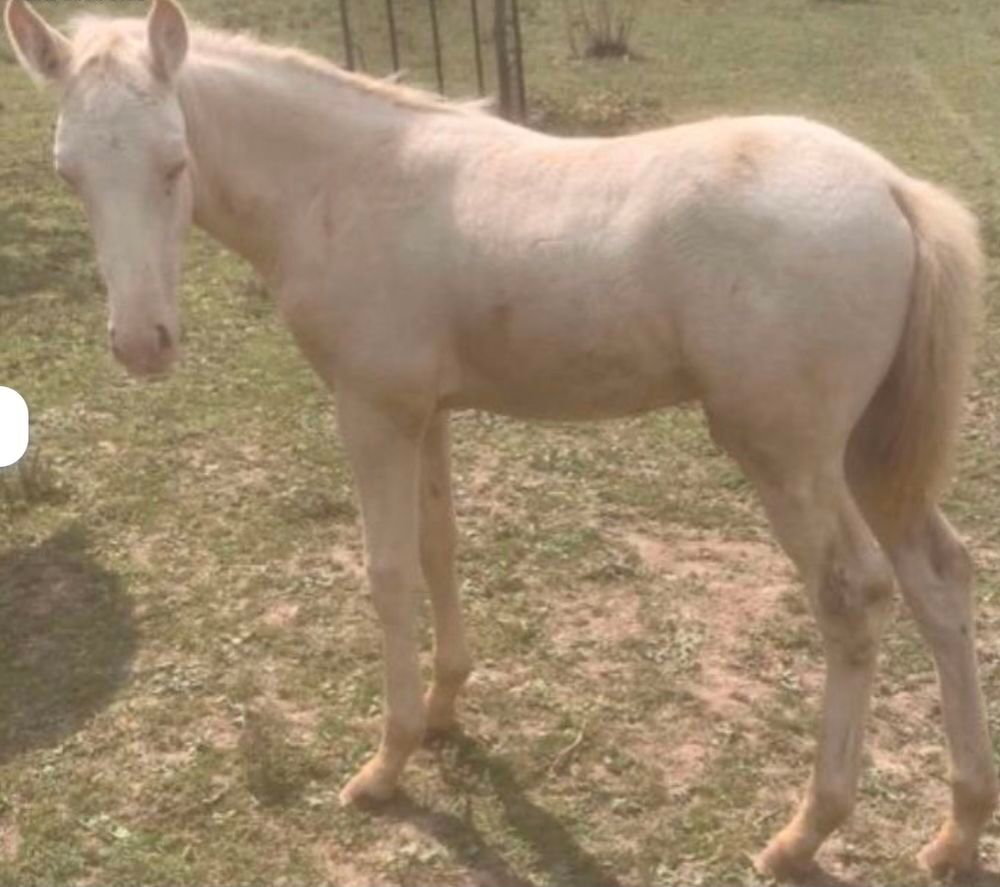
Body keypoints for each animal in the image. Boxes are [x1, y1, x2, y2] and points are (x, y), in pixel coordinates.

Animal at [5, 0, 997, 878]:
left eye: (175, 163)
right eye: (68, 175)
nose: (142, 343)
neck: (344, 184)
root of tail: (894, 189)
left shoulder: (371, 409)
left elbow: (388, 571)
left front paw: (387, 763)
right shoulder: (427, 410)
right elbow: (439, 547)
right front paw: (446, 712)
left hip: (787, 455)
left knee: (854, 596)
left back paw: (804, 833)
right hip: (869, 451)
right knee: (940, 578)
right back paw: (956, 830)